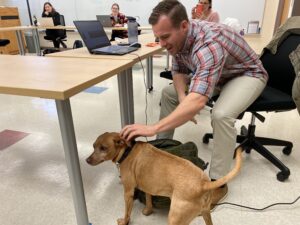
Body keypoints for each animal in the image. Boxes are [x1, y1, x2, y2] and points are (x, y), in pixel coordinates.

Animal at [86, 132, 241, 225]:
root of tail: (203, 183)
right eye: (93, 146)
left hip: (175, 218)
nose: (87, 160)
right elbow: (148, 199)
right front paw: (148, 211)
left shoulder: (128, 192)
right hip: (206, 213)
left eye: (103, 148)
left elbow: (127, 213)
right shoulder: (148, 186)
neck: (127, 151)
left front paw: (124, 221)